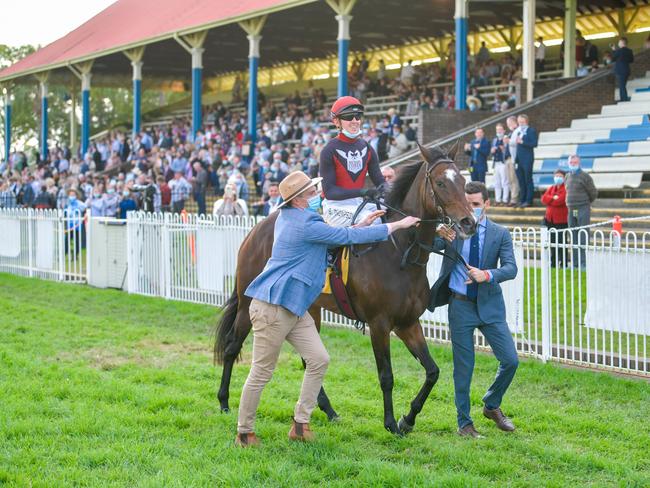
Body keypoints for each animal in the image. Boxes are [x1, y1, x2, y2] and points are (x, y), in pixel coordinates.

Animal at [215, 144, 474, 434]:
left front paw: (407, 419)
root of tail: (256, 229)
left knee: (308, 359)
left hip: (308, 310)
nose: (468, 222)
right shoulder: (379, 324)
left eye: (463, 182)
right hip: (248, 304)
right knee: (232, 346)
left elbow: (433, 371)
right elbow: (386, 376)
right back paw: (224, 401)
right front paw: (390, 423)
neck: (400, 254)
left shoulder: (408, 323)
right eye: (440, 183)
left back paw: (328, 410)